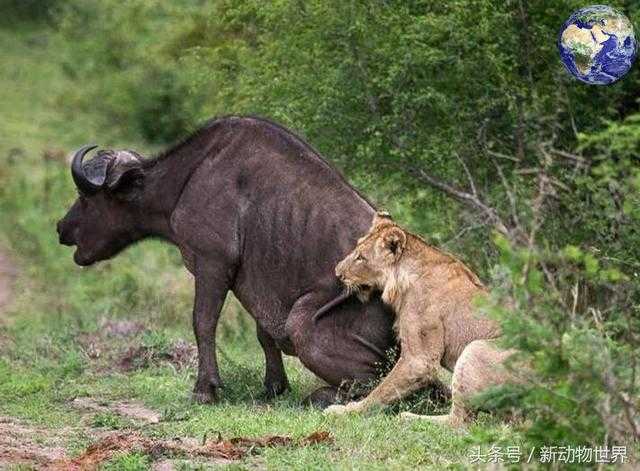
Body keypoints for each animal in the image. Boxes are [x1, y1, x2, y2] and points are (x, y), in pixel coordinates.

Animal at [56, 117, 396, 406]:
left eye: (84, 197)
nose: (61, 227)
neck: (188, 178)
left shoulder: (212, 265)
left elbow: (203, 322)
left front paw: (205, 389)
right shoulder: (259, 281)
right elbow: (264, 333)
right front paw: (274, 386)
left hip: (303, 322)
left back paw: (321, 396)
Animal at [324, 212, 516, 426]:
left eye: (361, 258)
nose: (337, 272)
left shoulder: (418, 360)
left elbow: (380, 392)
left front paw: (347, 411)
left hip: (476, 348)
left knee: (459, 422)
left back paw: (409, 417)